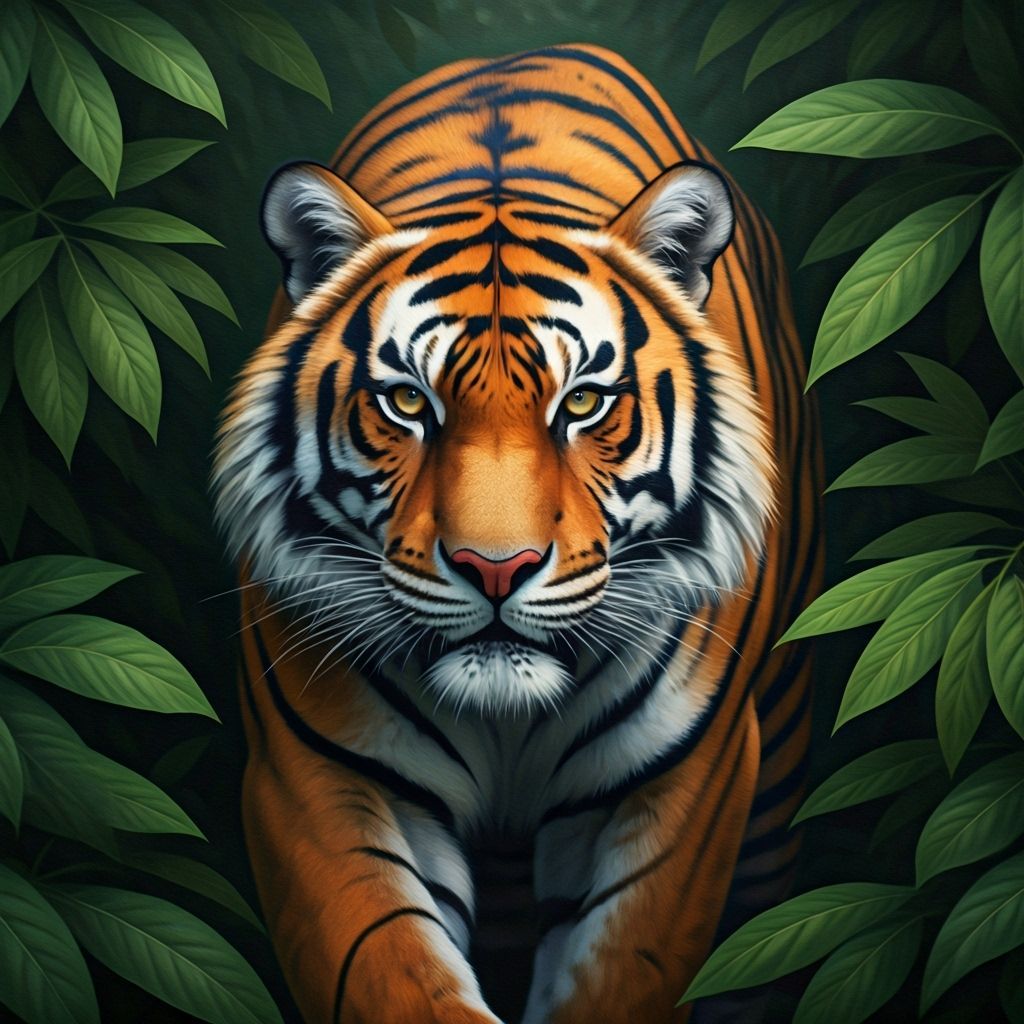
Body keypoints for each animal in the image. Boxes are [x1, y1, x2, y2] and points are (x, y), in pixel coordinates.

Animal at [212, 43, 823, 1024]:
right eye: (407, 402)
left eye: (582, 404)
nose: (495, 569)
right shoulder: (319, 781)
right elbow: (395, 979)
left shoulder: (679, 790)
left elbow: (618, 976)